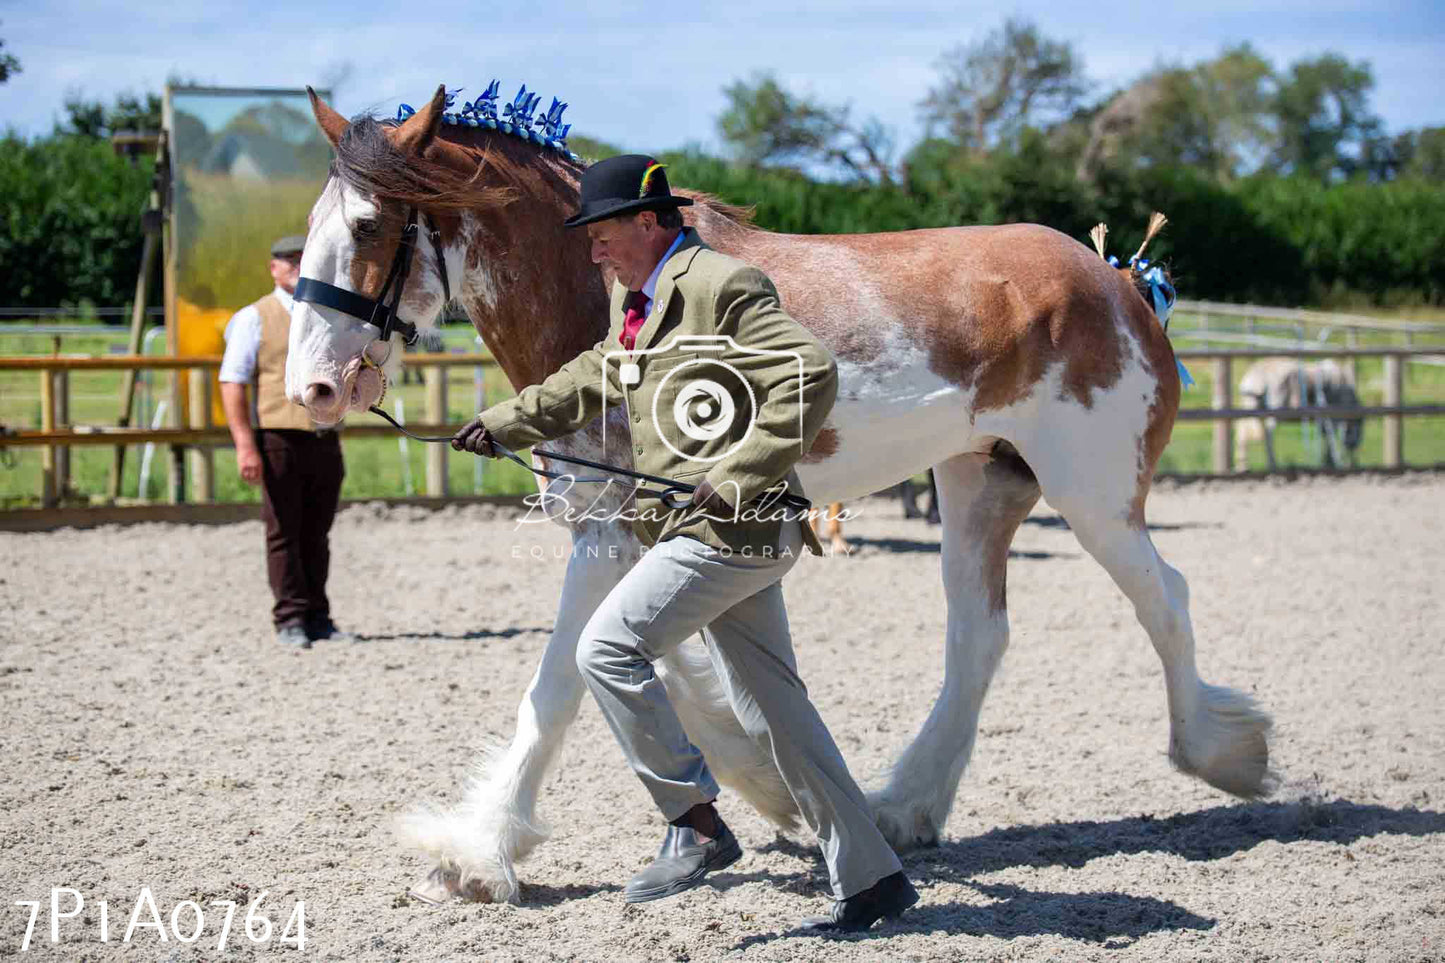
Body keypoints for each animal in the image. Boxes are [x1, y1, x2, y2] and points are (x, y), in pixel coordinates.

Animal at [284, 88, 1277, 902]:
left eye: (369, 226)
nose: (313, 389)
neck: (598, 291)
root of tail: (1121, 285)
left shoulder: (611, 532)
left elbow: (561, 679)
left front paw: (478, 852)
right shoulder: (629, 527)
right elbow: (676, 674)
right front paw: (767, 786)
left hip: (1093, 495)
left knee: (1162, 597)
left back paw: (1223, 754)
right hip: (978, 482)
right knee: (979, 636)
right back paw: (906, 806)